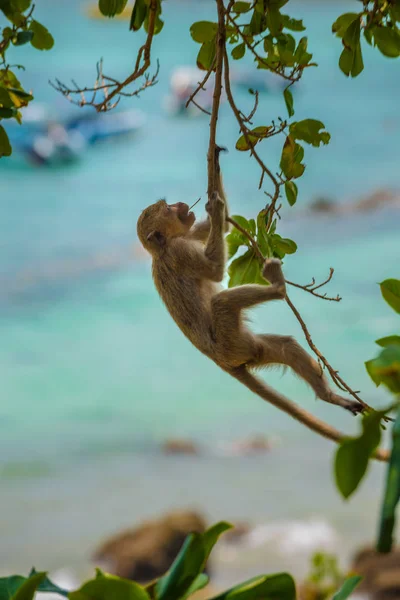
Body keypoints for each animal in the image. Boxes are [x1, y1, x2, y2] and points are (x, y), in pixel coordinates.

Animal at [136, 148, 392, 458]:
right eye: (168, 209)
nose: (180, 204)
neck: (160, 250)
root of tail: (220, 361)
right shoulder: (179, 250)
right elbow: (215, 272)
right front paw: (216, 207)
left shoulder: (184, 236)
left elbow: (217, 227)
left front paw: (215, 165)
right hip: (230, 341)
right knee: (222, 302)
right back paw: (279, 288)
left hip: (246, 348)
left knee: (285, 346)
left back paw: (328, 396)